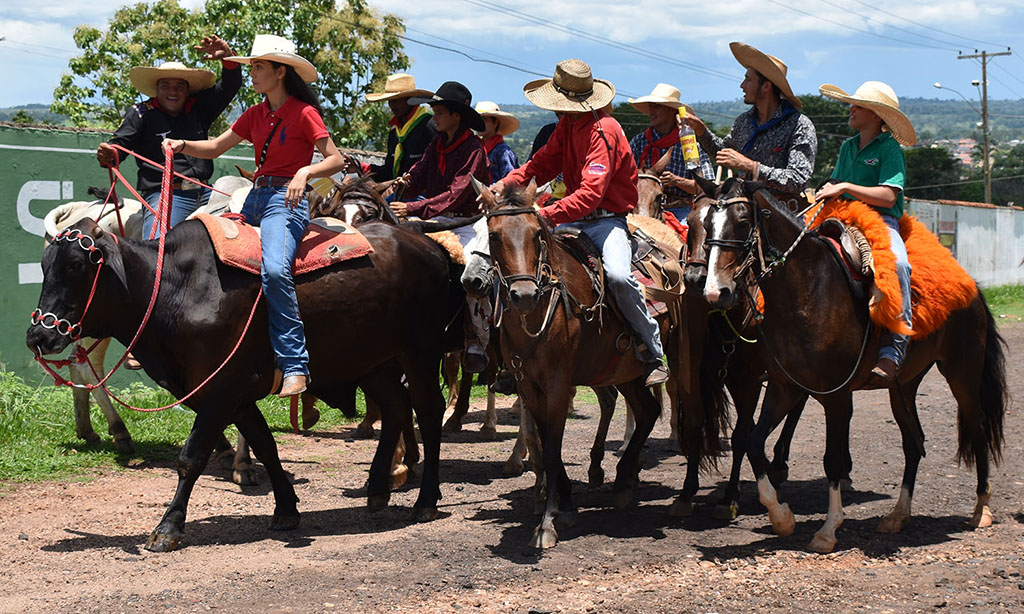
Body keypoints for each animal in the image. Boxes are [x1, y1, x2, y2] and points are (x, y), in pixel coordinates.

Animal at [28, 212, 468, 552]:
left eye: (76, 266)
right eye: (45, 265)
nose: (38, 336)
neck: (178, 287)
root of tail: (426, 243)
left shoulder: (222, 388)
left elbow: (191, 457)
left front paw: (168, 527)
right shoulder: (233, 395)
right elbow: (265, 445)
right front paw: (286, 509)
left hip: (420, 353)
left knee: (428, 414)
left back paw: (426, 499)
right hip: (373, 363)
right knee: (395, 408)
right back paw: (377, 486)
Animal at [474, 179, 665, 549]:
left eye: (537, 233)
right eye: (494, 236)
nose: (523, 295)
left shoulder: (559, 384)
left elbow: (551, 447)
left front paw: (548, 522)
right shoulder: (529, 386)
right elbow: (546, 443)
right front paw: (565, 505)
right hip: (626, 374)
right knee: (647, 412)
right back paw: (623, 481)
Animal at [700, 177, 1007, 552]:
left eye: (743, 222)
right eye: (705, 224)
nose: (716, 293)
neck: (806, 290)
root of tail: (972, 286)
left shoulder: (836, 396)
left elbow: (832, 460)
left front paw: (828, 530)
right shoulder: (784, 387)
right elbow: (754, 442)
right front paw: (782, 517)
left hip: (962, 373)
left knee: (978, 430)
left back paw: (982, 510)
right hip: (903, 386)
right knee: (914, 442)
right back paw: (897, 516)